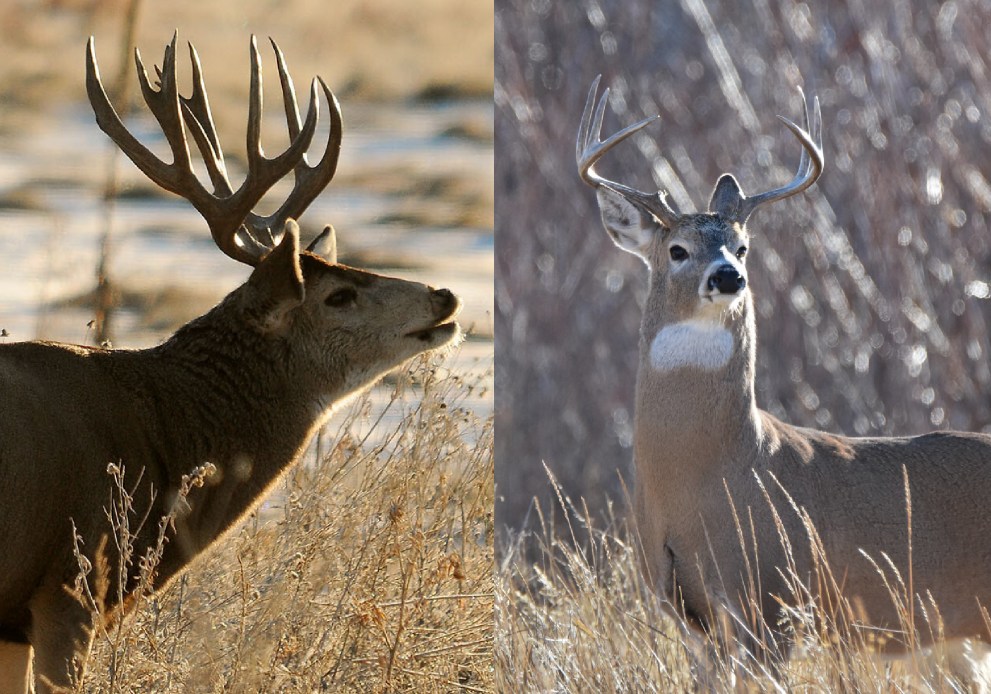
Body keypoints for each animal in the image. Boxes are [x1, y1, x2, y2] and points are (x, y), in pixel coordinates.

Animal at [577, 76, 991, 686]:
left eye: (742, 246)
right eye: (676, 250)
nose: (729, 276)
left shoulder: (772, 602)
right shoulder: (687, 615)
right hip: (952, 642)